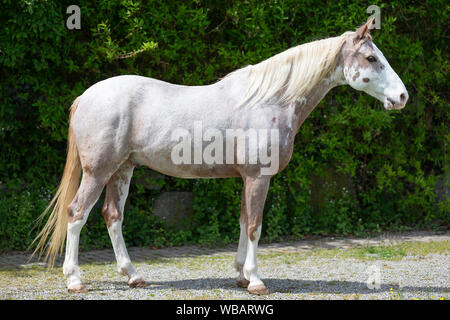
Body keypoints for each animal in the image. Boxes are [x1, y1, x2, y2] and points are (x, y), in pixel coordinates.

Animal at [32, 18, 408, 296]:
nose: (402, 97)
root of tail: (85, 96)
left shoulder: (247, 178)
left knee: (113, 216)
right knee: (77, 214)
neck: (271, 100)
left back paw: (133, 275)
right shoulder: (258, 177)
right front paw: (256, 281)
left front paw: (241, 276)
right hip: (98, 171)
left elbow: (243, 222)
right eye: (372, 59)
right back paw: (74, 279)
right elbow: (256, 226)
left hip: (122, 170)